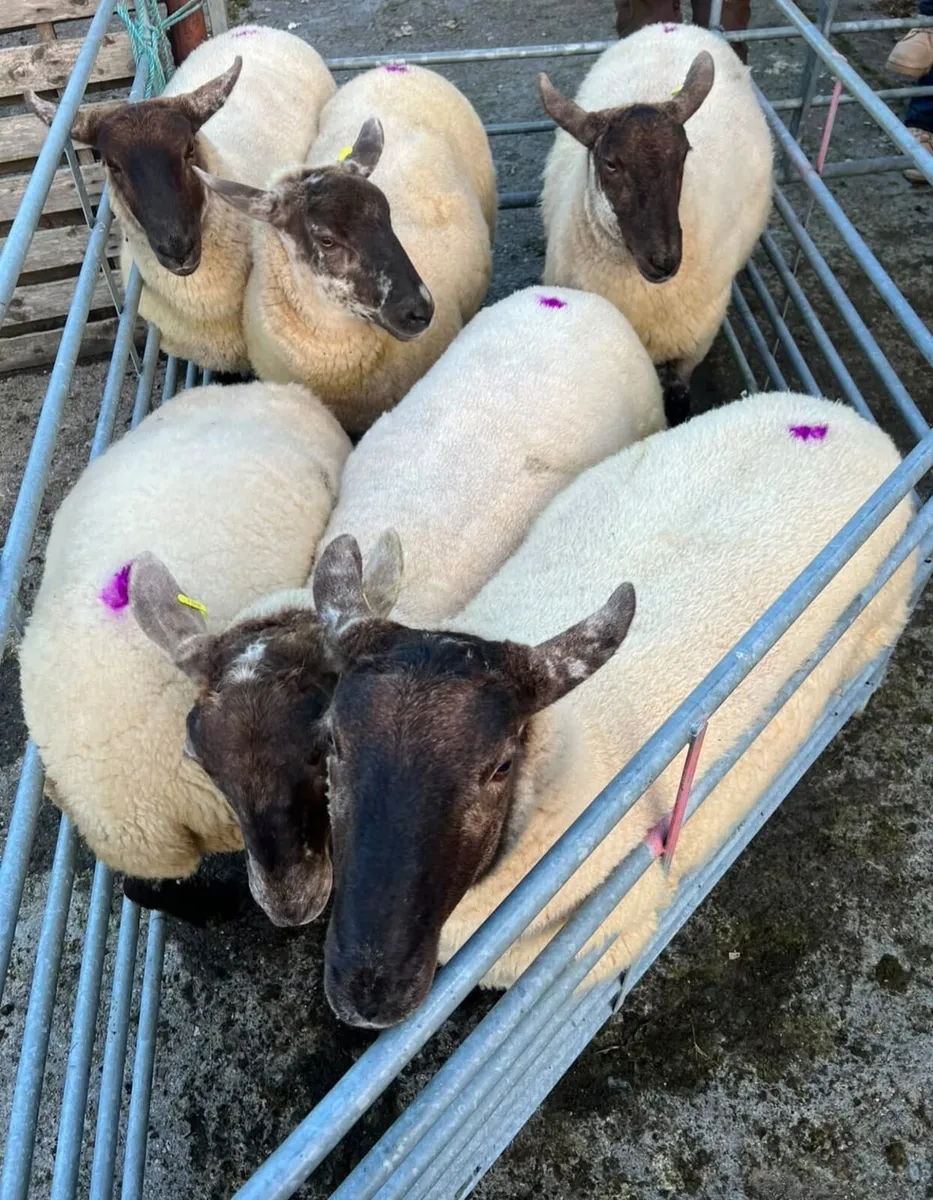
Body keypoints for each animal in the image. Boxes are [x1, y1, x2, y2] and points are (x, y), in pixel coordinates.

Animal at [537, 24, 773, 425]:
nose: (664, 259)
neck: (641, 294)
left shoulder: (692, 345)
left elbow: (678, 398)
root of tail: (674, 25)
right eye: (610, 163)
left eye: (684, 154)